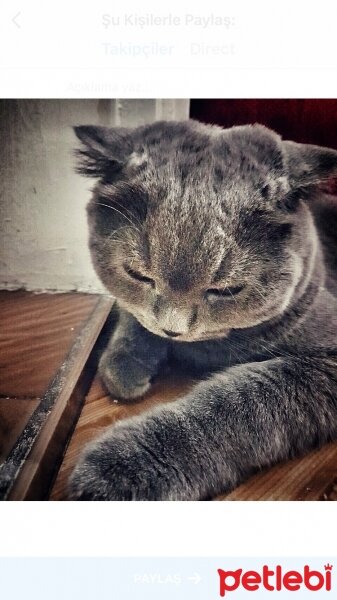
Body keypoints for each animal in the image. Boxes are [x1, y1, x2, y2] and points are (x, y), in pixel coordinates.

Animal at [67, 119, 336, 500]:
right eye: (138, 275)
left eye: (226, 290)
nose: (173, 328)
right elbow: (134, 318)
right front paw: (124, 366)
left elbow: (241, 404)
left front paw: (123, 467)